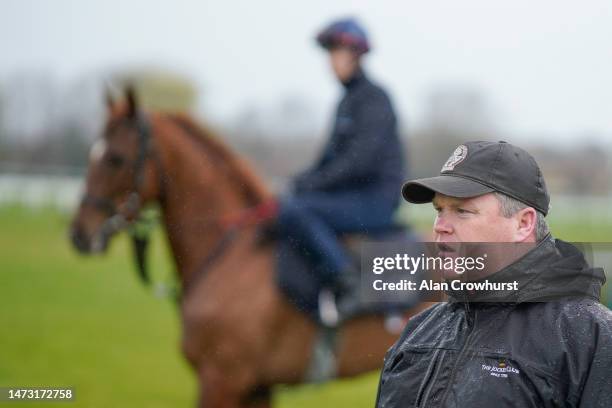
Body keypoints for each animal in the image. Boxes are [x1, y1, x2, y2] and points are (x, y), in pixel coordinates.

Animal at [70, 88, 426, 408]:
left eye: (115, 158)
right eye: (91, 154)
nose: (79, 234)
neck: (231, 256)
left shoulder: (221, 379)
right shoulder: (255, 387)